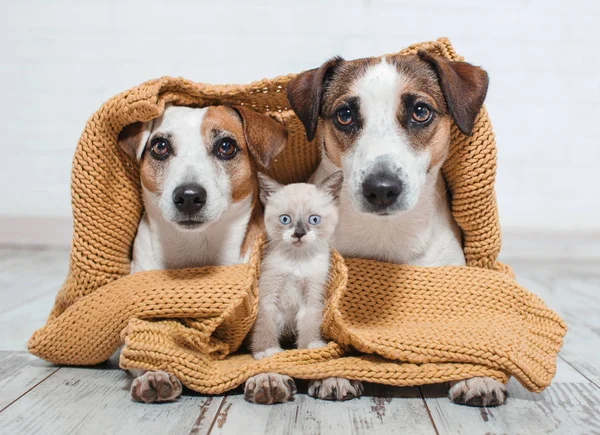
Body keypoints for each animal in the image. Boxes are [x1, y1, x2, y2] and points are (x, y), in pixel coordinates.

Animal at [118, 104, 288, 404]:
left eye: (226, 146)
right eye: (160, 146)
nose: (188, 195)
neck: (198, 247)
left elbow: (265, 345)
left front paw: (268, 374)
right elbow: (143, 347)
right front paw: (154, 372)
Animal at [284, 52, 504, 408]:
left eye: (420, 111)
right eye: (345, 115)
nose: (382, 188)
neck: (386, 233)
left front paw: (478, 376)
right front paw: (333, 373)